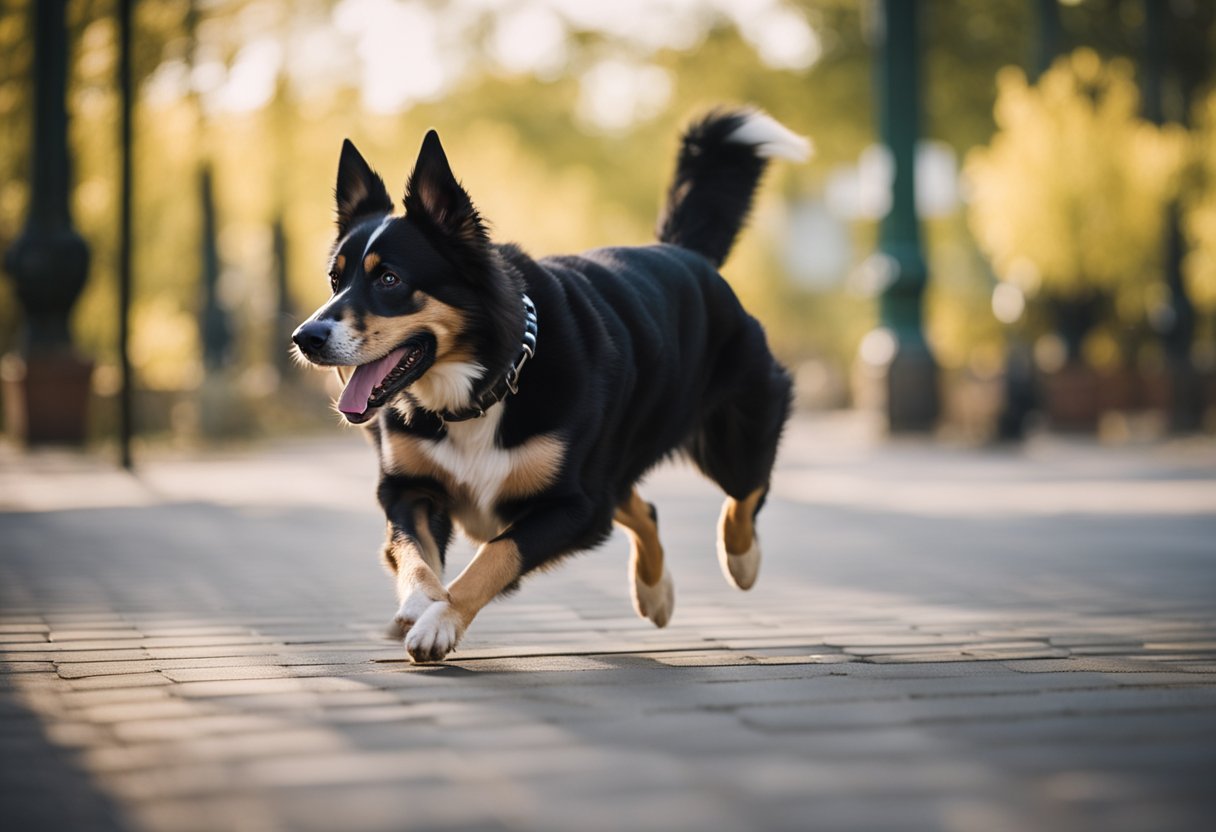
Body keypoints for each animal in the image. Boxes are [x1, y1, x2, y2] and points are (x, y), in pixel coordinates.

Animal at [293, 108, 807, 661]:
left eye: (389, 279)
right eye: (335, 280)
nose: (306, 338)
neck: (482, 388)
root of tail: (686, 255)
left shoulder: (573, 504)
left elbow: (495, 557)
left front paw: (441, 621)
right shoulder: (409, 489)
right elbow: (410, 549)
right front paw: (421, 600)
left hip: (731, 438)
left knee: (746, 493)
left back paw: (740, 561)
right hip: (612, 470)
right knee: (642, 507)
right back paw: (654, 593)